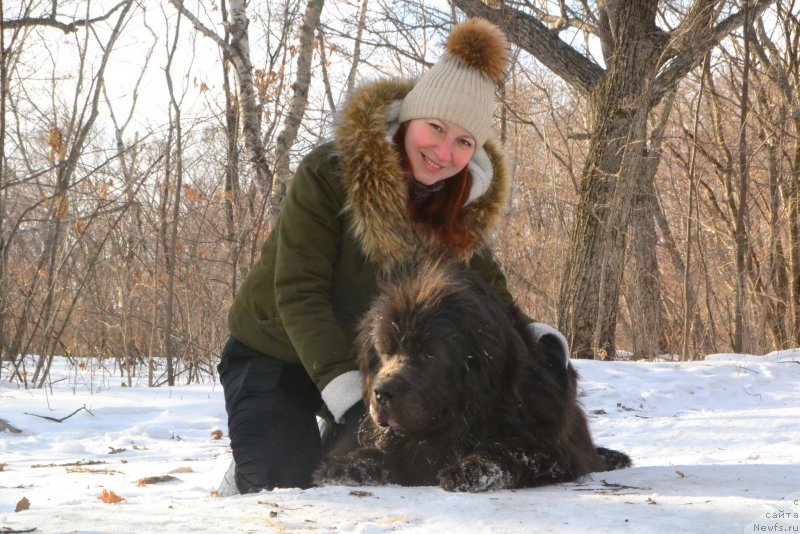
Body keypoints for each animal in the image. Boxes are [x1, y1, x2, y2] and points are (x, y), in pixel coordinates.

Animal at [314, 264, 632, 494]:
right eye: (385, 351)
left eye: (430, 353)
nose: (381, 393)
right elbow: (385, 453)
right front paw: (345, 466)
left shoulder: (551, 451)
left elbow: (509, 453)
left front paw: (468, 470)